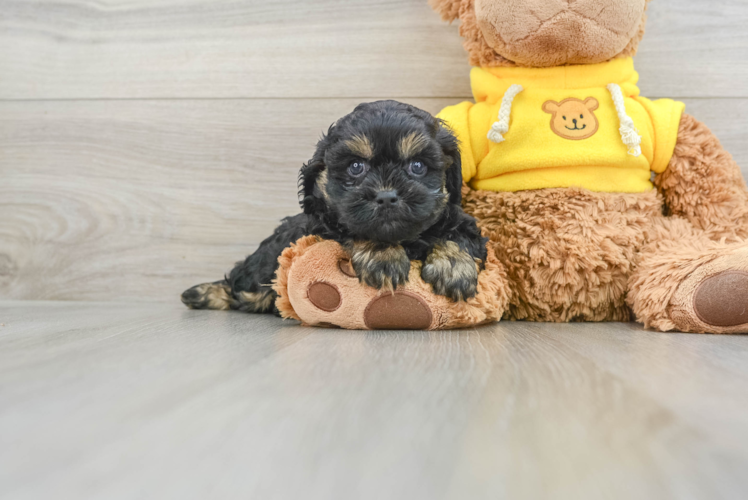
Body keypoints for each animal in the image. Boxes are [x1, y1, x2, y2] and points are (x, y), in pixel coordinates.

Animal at [180, 100, 486, 314]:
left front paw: (453, 266)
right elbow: (356, 229)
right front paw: (383, 255)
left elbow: (459, 234)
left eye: (418, 166)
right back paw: (204, 294)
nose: (386, 196)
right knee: (245, 286)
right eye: (356, 167)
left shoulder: (462, 221)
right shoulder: (324, 223)